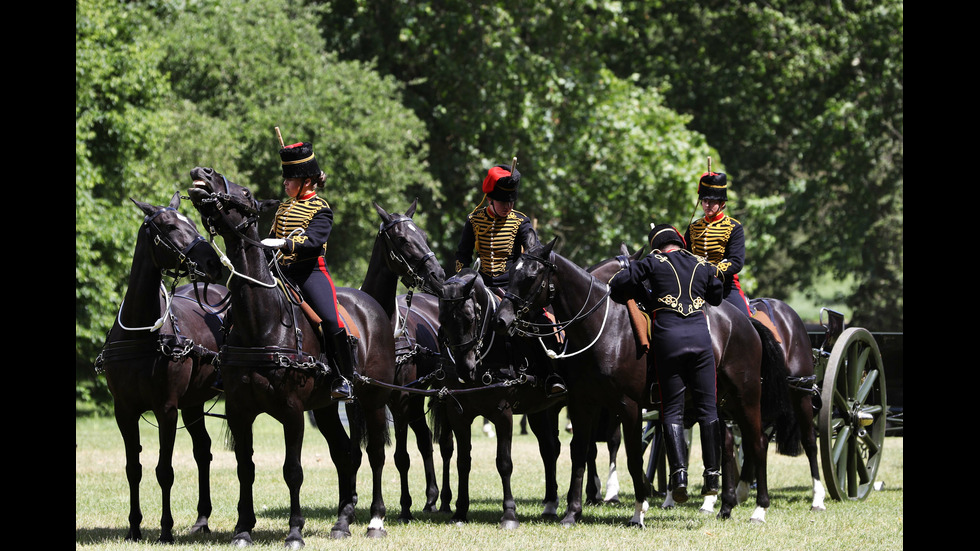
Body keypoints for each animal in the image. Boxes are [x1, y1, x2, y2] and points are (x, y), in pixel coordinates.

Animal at [97, 193, 228, 544]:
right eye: (169, 226)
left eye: (194, 223)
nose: (214, 264)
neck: (141, 333)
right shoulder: (124, 410)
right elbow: (134, 469)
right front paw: (134, 527)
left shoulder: (166, 408)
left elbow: (164, 471)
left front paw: (166, 529)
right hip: (194, 403)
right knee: (203, 451)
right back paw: (202, 518)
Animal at [188, 168, 394, 548]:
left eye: (245, 191)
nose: (202, 173)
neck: (263, 322)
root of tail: (372, 306)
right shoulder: (239, 411)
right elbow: (245, 468)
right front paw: (243, 528)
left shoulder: (292, 412)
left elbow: (292, 471)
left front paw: (295, 531)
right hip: (326, 408)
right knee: (345, 454)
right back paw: (342, 522)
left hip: (373, 401)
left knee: (374, 453)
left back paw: (375, 520)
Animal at [438, 270, 568, 528]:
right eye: (443, 320)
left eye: (470, 318)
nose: (464, 369)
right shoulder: (458, 415)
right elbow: (463, 461)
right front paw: (460, 510)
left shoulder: (502, 413)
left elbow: (504, 462)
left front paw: (509, 513)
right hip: (541, 410)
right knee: (549, 449)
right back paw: (550, 503)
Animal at [494, 240, 792, 528]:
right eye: (512, 274)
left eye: (530, 276)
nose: (502, 319)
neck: (604, 329)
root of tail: (746, 322)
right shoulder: (582, 404)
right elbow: (579, 452)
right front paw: (572, 512)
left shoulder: (628, 406)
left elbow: (633, 457)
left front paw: (639, 511)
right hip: (718, 400)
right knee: (727, 444)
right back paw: (726, 506)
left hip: (747, 398)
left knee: (758, 443)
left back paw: (759, 509)